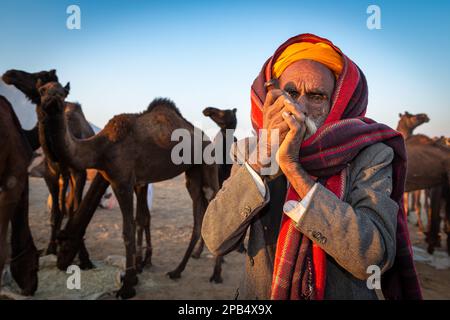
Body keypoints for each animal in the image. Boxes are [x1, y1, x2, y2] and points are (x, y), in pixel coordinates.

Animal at [2, 69, 94, 266]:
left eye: (63, 92)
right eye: (41, 87)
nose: (9, 74)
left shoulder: (79, 173)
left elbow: (76, 211)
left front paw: (84, 257)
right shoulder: (49, 174)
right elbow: (55, 213)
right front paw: (50, 249)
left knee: (70, 206)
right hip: (60, 176)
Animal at [37, 81, 221, 298]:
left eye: (62, 93)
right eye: (42, 91)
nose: (60, 264)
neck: (101, 149)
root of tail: (207, 139)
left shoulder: (121, 182)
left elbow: (128, 229)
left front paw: (128, 286)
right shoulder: (133, 180)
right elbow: (140, 219)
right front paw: (137, 272)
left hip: (209, 166)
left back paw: (216, 275)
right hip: (192, 174)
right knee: (198, 216)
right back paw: (177, 270)